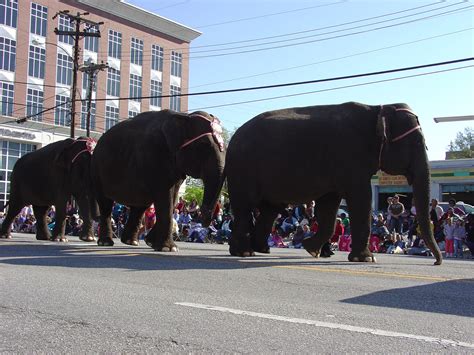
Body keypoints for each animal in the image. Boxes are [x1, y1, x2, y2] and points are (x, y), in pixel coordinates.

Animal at [91, 110, 227, 252]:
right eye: (203, 145)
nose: (201, 216)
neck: (184, 116)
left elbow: (173, 199)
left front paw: (151, 242)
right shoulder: (155, 155)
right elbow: (165, 197)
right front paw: (169, 249)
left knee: (140, 206)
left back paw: (131, 242)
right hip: (97, 170)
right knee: (106, 204)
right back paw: (106, 242)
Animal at [224, 101, 442, 266]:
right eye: (416, 143)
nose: (436, 262)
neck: (377, 109)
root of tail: (231, 141)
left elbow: (329, 207)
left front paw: (311, 248)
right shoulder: (350, 158)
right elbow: (361, 199)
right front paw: (365, 259)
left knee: (269, 210)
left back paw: (257, 250)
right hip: (243, 170)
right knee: (245, 207)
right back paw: (245, 253)